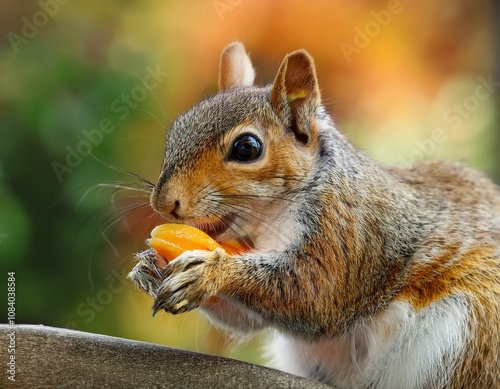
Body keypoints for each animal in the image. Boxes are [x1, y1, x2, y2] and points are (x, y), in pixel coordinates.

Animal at [127, 42, 498, 388]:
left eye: (246, 148)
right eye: (177, 130)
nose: (163, 202)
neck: (271, 219)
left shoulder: (348, 230)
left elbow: (315, 293)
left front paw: (210, 272)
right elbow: (248, 319)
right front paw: (151, 266)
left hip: (471, 333)